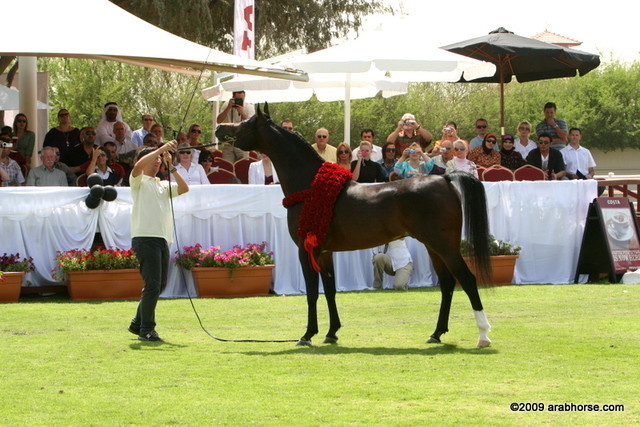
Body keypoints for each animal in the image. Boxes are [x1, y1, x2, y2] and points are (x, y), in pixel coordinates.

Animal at [215, 105, 493, 347]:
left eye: (247, 123)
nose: (219, 128)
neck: (310, 186)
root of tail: (445, 179)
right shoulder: (324, 252)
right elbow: (329, 290)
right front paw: (331, 333)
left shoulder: (306, 250)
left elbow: (312, 293)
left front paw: (307, 335)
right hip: (433, 247)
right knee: (447, 284)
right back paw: (436, 334)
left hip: (445, 247)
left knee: (468, 280)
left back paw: (483, 335)